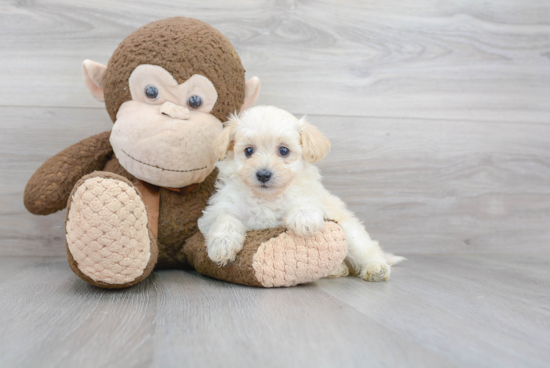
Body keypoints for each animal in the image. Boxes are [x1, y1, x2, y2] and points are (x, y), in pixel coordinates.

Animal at [198, 106, 406, 282]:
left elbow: (306, 202)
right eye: (248, 150)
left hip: (352, 234)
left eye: (284, 150)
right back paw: (337, 270)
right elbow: (224, 218)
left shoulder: (313, 197)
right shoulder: (218, 209)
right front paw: (222, 245)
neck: (267, 198)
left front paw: (303, 218)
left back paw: (376, 269)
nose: (263, 174)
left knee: (368, 252)